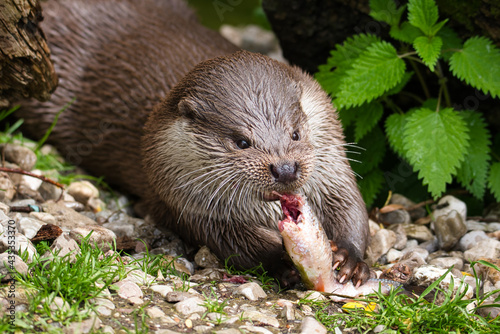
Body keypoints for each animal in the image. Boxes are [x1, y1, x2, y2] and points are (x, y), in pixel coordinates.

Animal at [18, 0, 372, 284]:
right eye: (241, 142)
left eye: (296, 133)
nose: (285, 168)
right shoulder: (187, 203)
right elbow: (237, 244)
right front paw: (284, 261)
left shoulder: (330, 159)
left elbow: (349, 203)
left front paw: (349, 257)